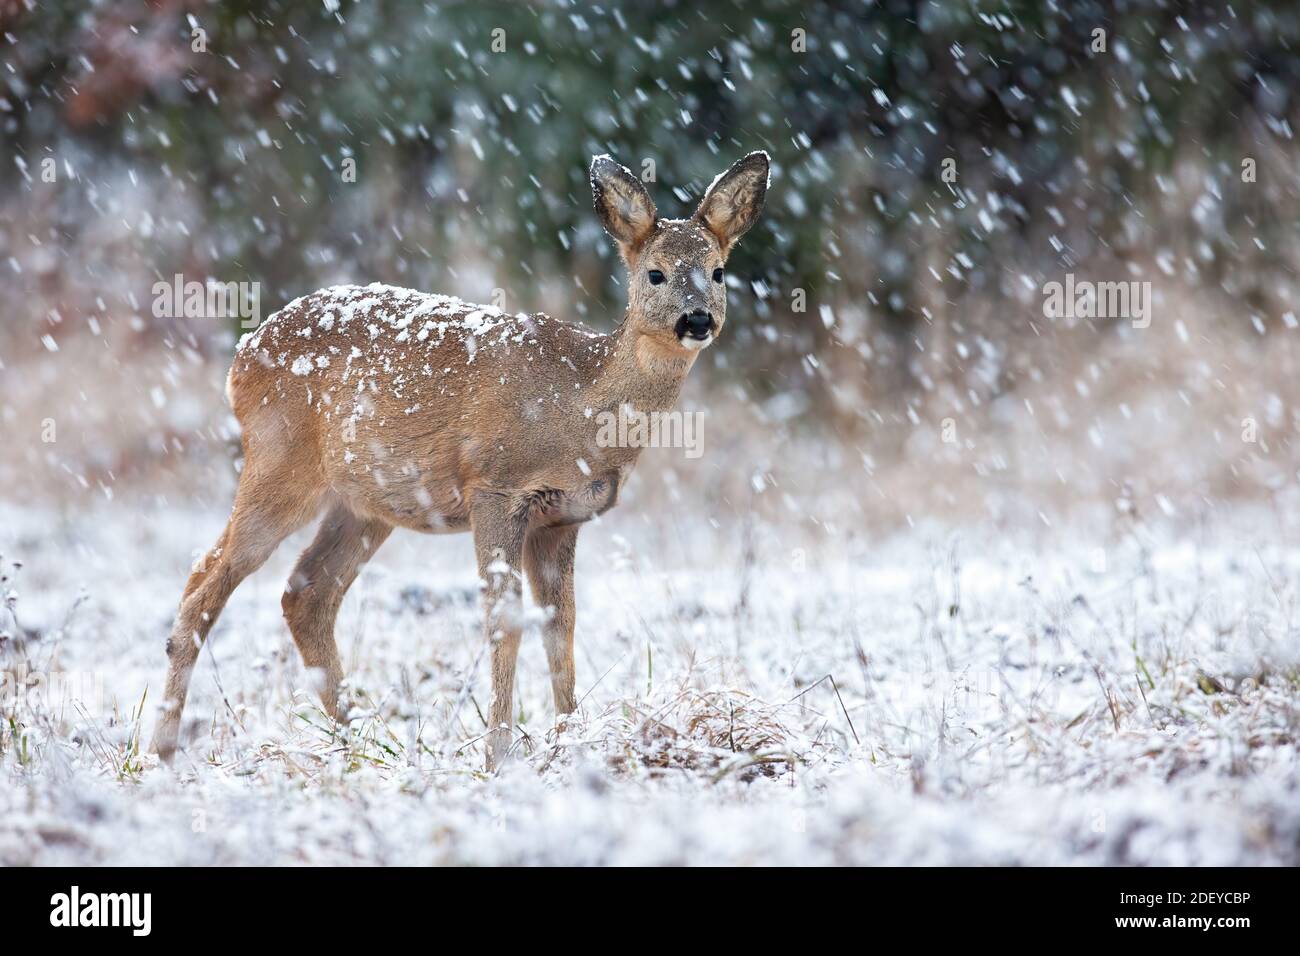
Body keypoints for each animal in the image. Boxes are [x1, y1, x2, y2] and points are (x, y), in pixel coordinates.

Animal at [148, 151, 764, 770]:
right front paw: (499, 756)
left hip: (365, 503)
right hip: (281, 464)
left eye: (717, 272)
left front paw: (570, 740)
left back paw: (364, 740)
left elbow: (561, 628)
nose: (697, 320)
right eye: (655, 274)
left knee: (305, 593)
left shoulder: (562, 519)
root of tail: (241, 357)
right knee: (206, 581)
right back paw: (165, 750)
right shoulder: (495, 487)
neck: (582, 405)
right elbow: (505, 624)